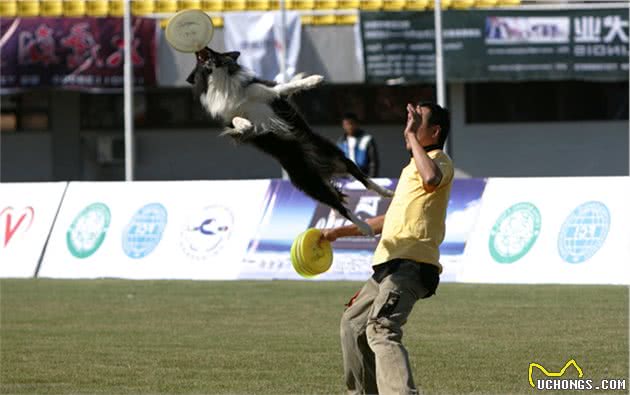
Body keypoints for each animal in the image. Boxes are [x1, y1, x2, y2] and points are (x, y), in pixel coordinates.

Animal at [188, 48, 396, 237]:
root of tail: (320, 167)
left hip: (336, 156)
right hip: (310, 183)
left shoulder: (270, 93)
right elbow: (238, 121)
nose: (199, 49)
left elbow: (288, 86)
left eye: (212, 51)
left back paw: (387, 193)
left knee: (364, 179)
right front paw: (246, 124)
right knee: (340, 206)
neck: (222, 81)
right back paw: (365, 226)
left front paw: (314, 79)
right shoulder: (229, 122)